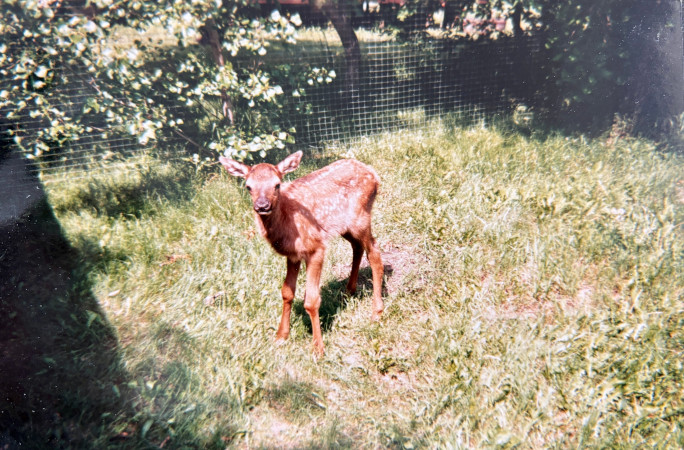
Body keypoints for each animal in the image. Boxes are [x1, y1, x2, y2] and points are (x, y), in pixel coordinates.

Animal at [219, 151, 383, 356]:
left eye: (277, 184)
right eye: (248, 186)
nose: (262, 205)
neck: (287, 222)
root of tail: (373, 173)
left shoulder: (316, 248)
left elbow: (311, 301)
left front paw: (318, 348)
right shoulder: (293, 255)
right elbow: (287, 292)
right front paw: (281, 336)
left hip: (361, 218)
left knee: (374, 252)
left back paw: (376, 312)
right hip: (346, 227)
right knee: (358, 247)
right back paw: (348, 291)